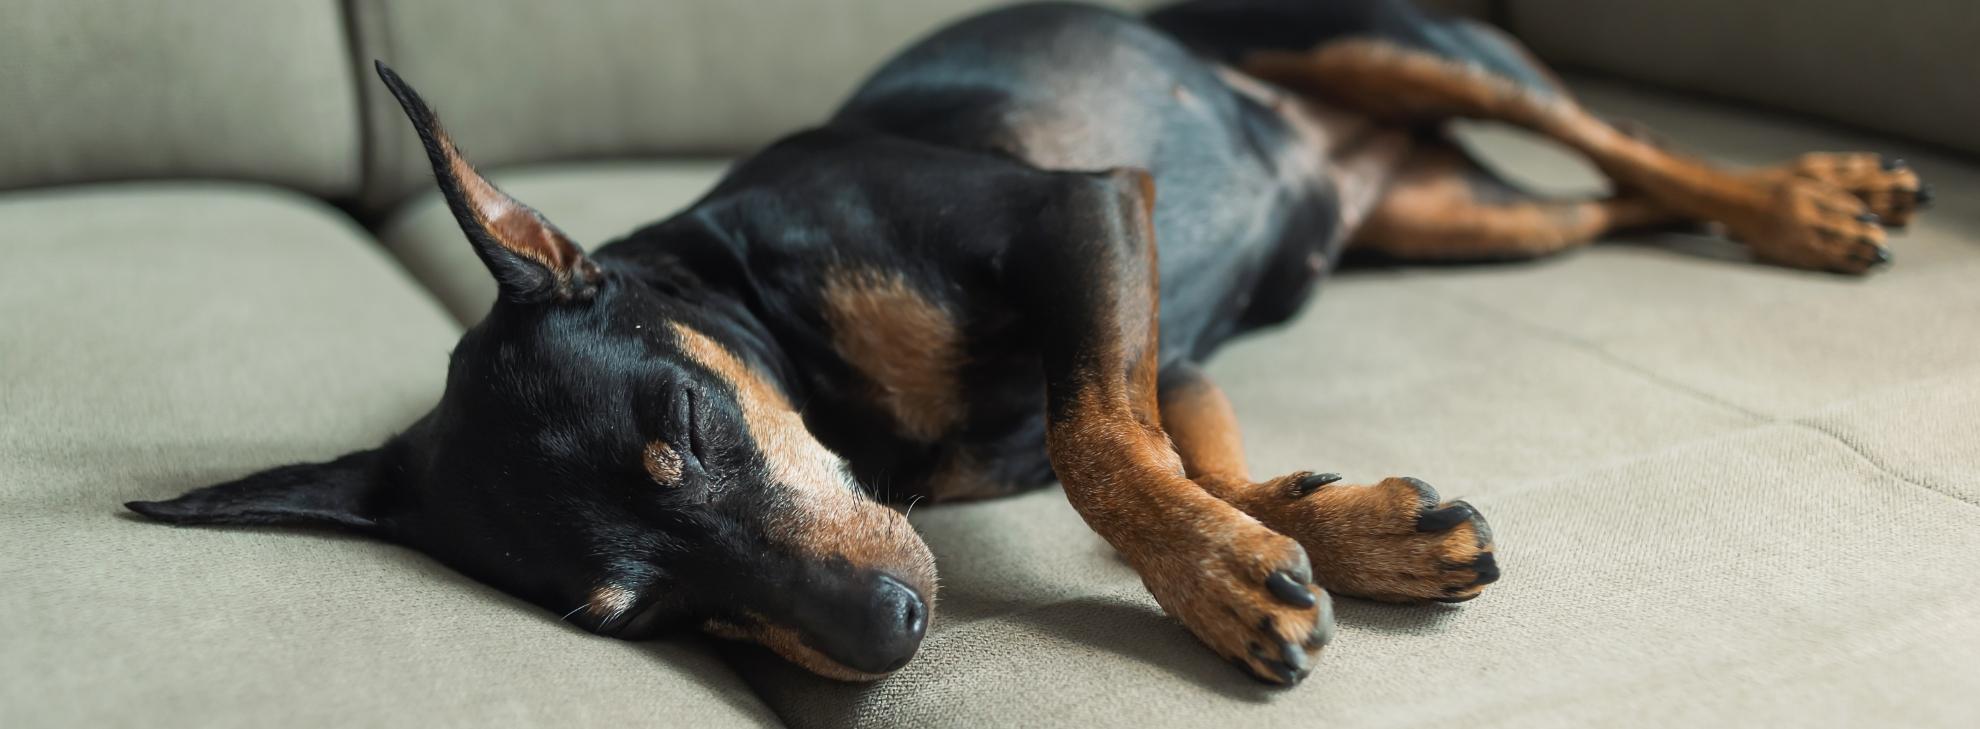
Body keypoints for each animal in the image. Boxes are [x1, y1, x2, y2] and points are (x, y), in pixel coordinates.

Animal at [127, 0, 1932, 685]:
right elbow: (1167, 435)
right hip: (1460, 217)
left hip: (1407, 48)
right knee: (1605, 202)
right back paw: (1800, 203)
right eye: (633, 613)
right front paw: (1324, 528)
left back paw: (1806, 198)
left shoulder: (1084, 211)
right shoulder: (1161, 323)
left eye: (689, 433)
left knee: (1631, 142)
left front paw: (1227, 574)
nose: (892, 632)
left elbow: (1092, 437)